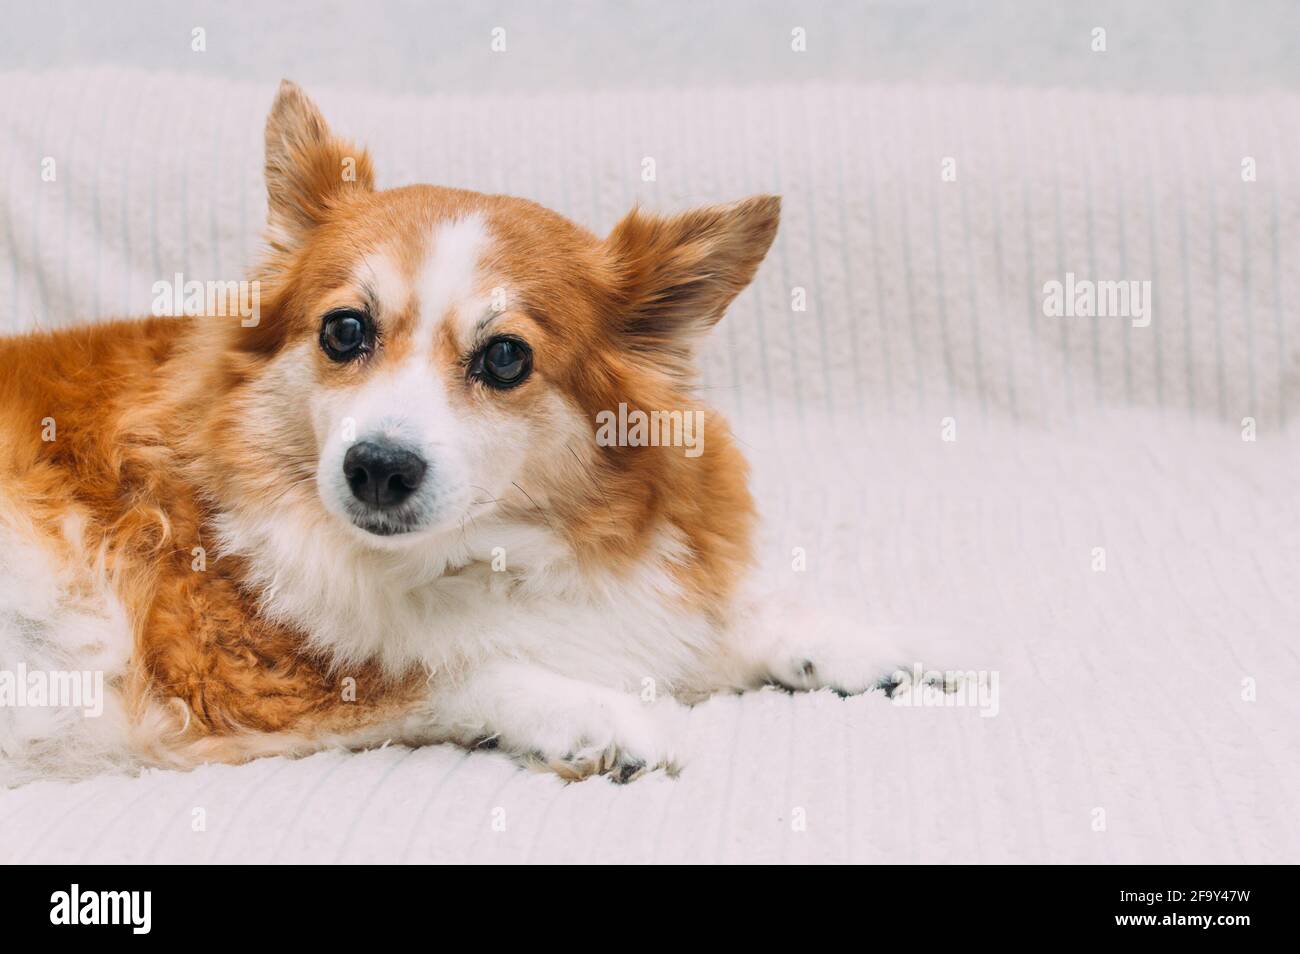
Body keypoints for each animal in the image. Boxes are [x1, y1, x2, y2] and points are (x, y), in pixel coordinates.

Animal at [0, 80, 915, 785]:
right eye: (343, 331)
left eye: (506, 357)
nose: (377, 467)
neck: (484, 553)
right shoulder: (230, 681)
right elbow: (443, 668)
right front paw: (595, 711)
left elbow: (710, 617)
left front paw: (844, 639)